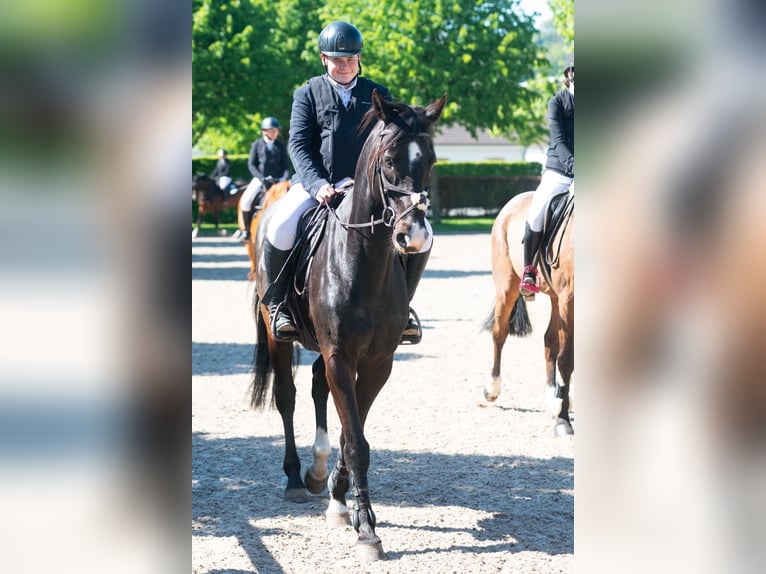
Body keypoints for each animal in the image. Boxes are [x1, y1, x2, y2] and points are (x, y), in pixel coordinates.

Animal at [250, 90, 447, 561]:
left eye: (430, 160)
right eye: (389, 161)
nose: (414, 237)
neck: (365, 264)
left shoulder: (377, 362)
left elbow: (349, 431)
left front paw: (345, 504)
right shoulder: (341, 355)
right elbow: (355, 440)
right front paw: (368, 530)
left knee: (318, 388)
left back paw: (319, 474)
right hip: (278, 333)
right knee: (287, 396)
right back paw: (294, 477)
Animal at [482, 190, 574, 436]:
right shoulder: (570, 299)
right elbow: (567, 360)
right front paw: (563, 421)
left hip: (555, 298)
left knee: (549, 341)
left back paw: (554, 397)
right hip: (508, 287)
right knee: (499, 334)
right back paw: (492, 388)